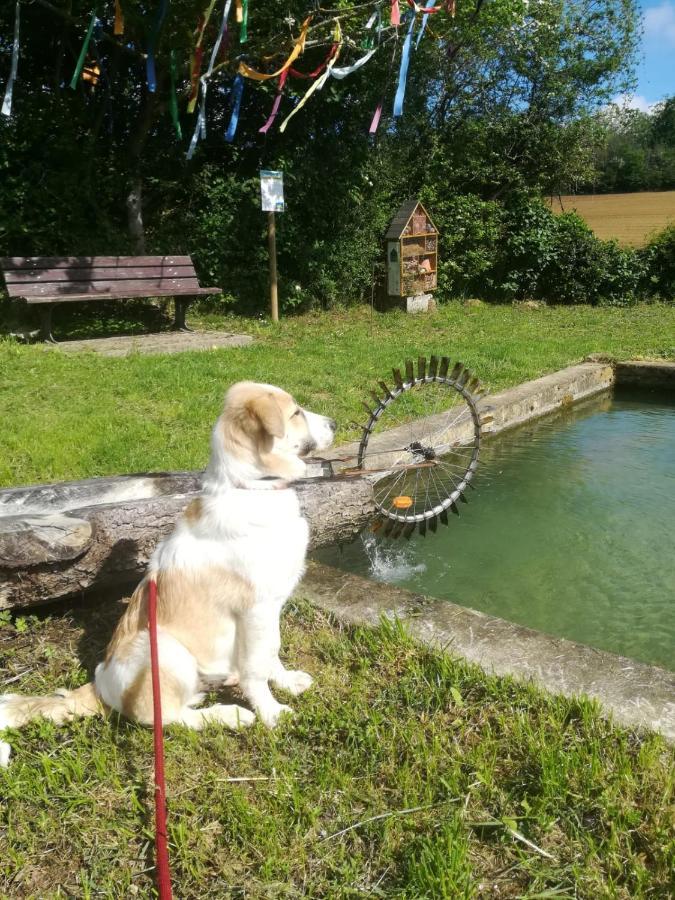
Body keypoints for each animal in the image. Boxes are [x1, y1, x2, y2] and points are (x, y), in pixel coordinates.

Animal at [0, 380, 338, 768]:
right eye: (295, 412)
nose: (336, 423)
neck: (252, 487)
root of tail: (100, 686)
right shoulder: (256, 609)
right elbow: (257, 667)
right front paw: (271, 712)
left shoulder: (270, 608)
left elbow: (271, 652)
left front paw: (285, 682)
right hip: (164, 649)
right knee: (169, 718)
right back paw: (229, 715)